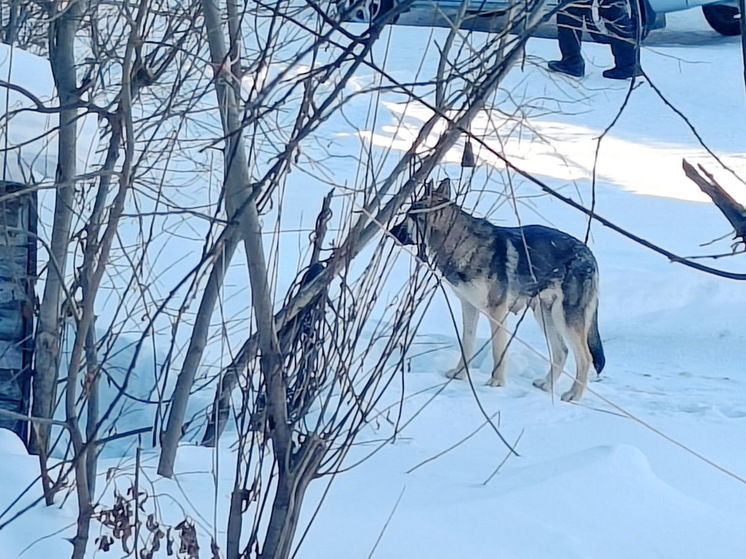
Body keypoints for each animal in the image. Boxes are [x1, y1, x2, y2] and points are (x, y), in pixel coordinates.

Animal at [390, 179, 604, 402]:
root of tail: (589, 254)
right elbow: (467, 343)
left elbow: (498, 349)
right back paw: (547, 384)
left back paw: (574, 395)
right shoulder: (469, 306)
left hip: (565, 318)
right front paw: (460, 375)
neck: (461, 243)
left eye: (408, 217)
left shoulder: (497, 311)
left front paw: (497, 383)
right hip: (545, 315)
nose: (391, 232)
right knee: (562, 351)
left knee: (585, 357)